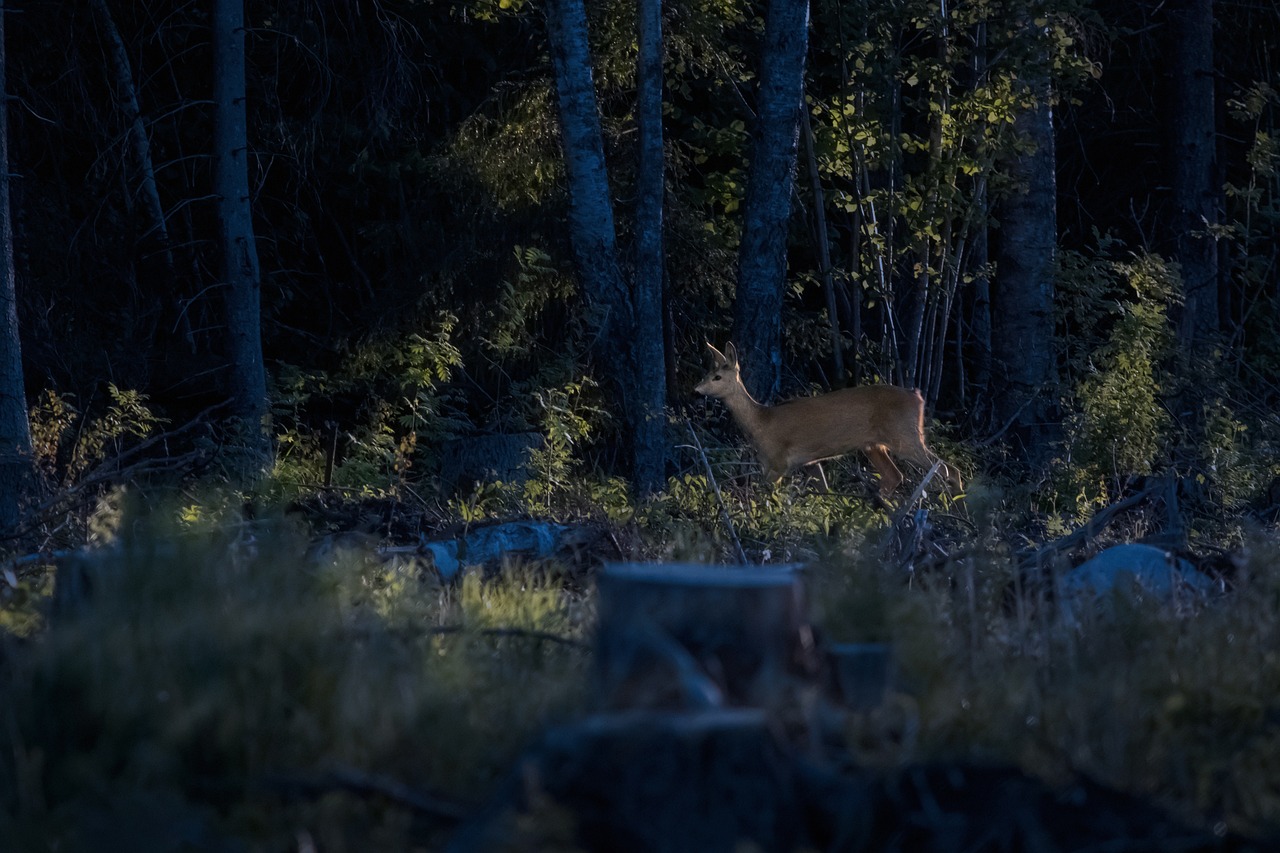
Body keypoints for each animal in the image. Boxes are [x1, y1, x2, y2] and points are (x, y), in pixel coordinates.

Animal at [701, 340, 962, 499]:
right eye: (707, 372)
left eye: (717, 376)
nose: (696, 389)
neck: (760, 422)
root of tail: (917, 397)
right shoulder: (808, 461)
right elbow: (823, 491)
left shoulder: (778, 463)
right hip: (874, 445)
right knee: (894, 476)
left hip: (905, 436)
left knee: (948, 469)